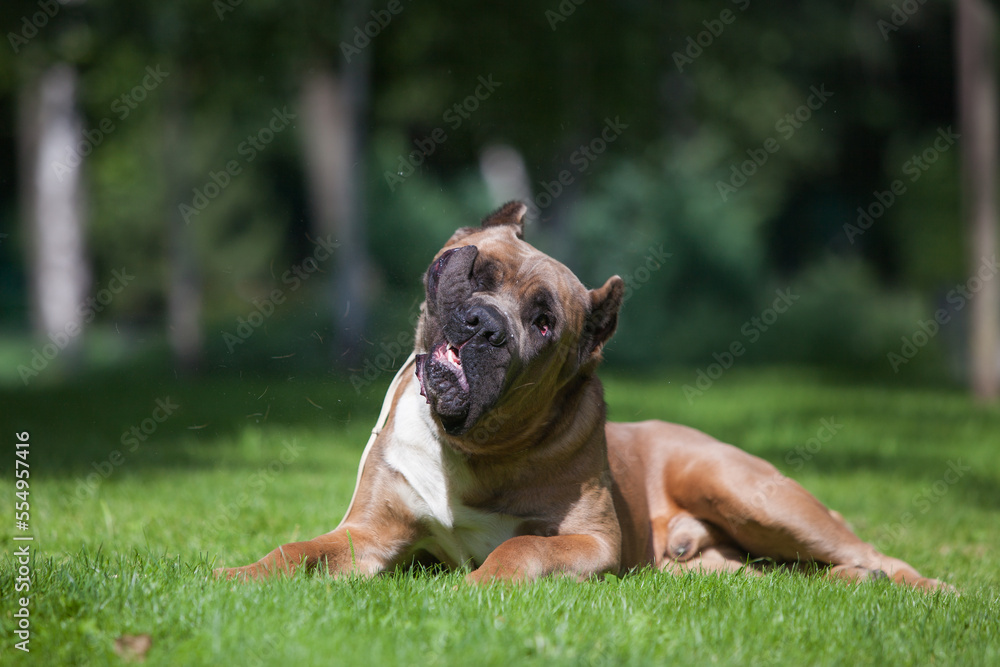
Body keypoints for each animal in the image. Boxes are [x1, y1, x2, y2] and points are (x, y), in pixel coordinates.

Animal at [215, 200, 948, 588]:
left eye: (544, 322)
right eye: (473, 269)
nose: (484, 324)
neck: (470, 448)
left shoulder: (588, 539)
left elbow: (520, 547)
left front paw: (478, 585)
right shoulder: (369, 533)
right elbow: (299, 550)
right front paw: (232, 576)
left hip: (744, 490)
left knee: (871, 552)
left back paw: (925, 587)